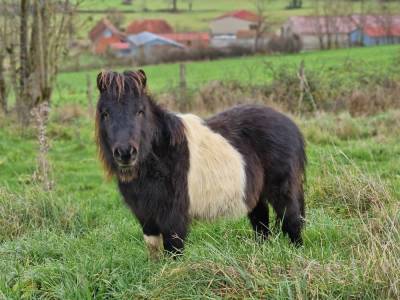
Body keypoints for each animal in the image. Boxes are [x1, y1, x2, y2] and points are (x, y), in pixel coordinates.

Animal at [94, 69, 306, 255]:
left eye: (140, 111)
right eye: (105, 113)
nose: (125, 153)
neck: (161, 158)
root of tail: (290, 124)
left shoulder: (173, 218)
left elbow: (173, 251)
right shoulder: (146, 217)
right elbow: (154, 251)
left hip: (282, 191)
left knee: (292, 221)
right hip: (254, 194)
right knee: (261, 224)